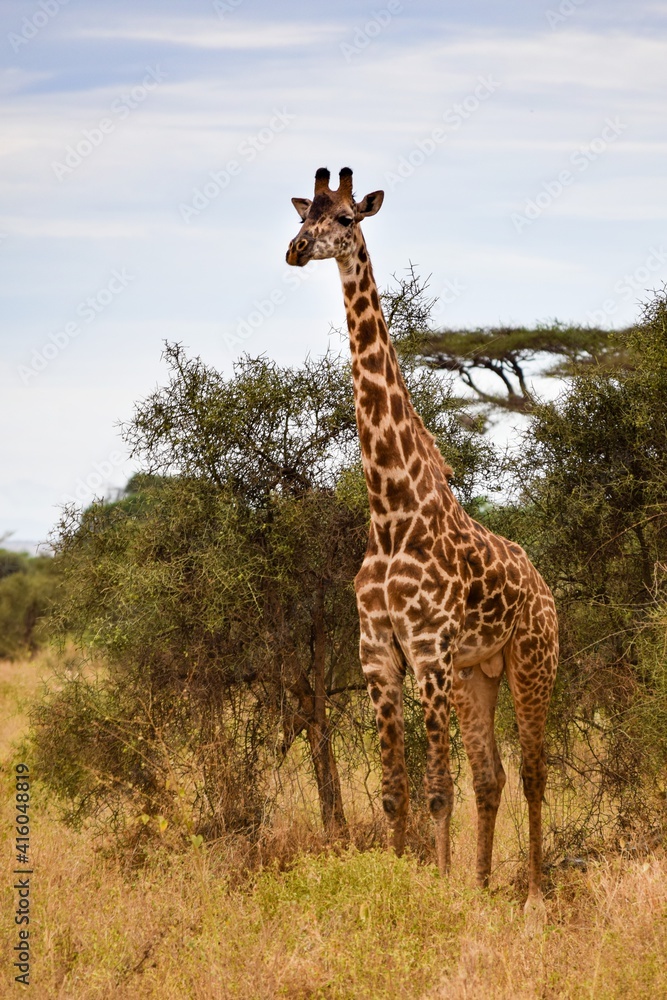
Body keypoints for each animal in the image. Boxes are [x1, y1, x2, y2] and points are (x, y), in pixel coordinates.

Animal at [285, 166, 558, 928]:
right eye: (304, 214)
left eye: (346, 218)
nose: (295, 250)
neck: (389, 510)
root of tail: (546, 589)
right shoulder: (380, 652)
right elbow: (394, 789)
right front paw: (409, 879)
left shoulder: (427, 649)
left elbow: (437, 788)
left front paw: (434, 889)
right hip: (478, 674)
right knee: (492, 775)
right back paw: (483, 884)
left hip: (531, 661)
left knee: (532, 772)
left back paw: (530, 895)